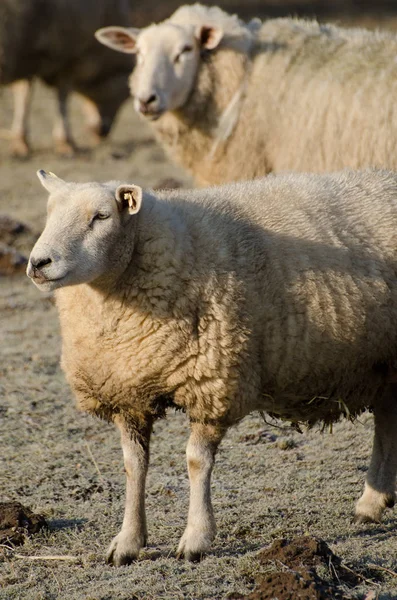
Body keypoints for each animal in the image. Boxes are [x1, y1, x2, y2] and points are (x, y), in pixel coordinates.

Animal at [0, 0, 134, 157]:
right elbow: (61, 96)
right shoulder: (69, 55)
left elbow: (24, 93)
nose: (103, 132)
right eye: (124, 92)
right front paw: (65, 142)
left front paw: (20, 142)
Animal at [27, 169, 396, 568]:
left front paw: (196, 539)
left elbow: (196, 462)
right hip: (383, 367)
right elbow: (133, 465)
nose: (38, 263)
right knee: (386, 423)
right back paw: (372, 503)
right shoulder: (128, 395)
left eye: (101, 216)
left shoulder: (212, 384)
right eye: (49, 213)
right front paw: (128, 541)